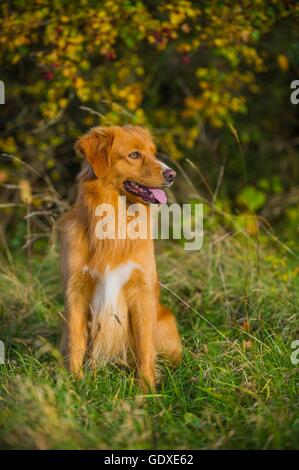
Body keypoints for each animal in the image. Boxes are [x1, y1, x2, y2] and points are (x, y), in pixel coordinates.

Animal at [59, 124, 183, 390]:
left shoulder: (141, 291)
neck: (113, 219)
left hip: (165, 323)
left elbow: (145, 348)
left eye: (154, 152)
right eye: (134, 155)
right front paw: (75, 384)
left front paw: (146, 389)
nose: (172, 174)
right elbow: (76, 342)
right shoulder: (76, 290)